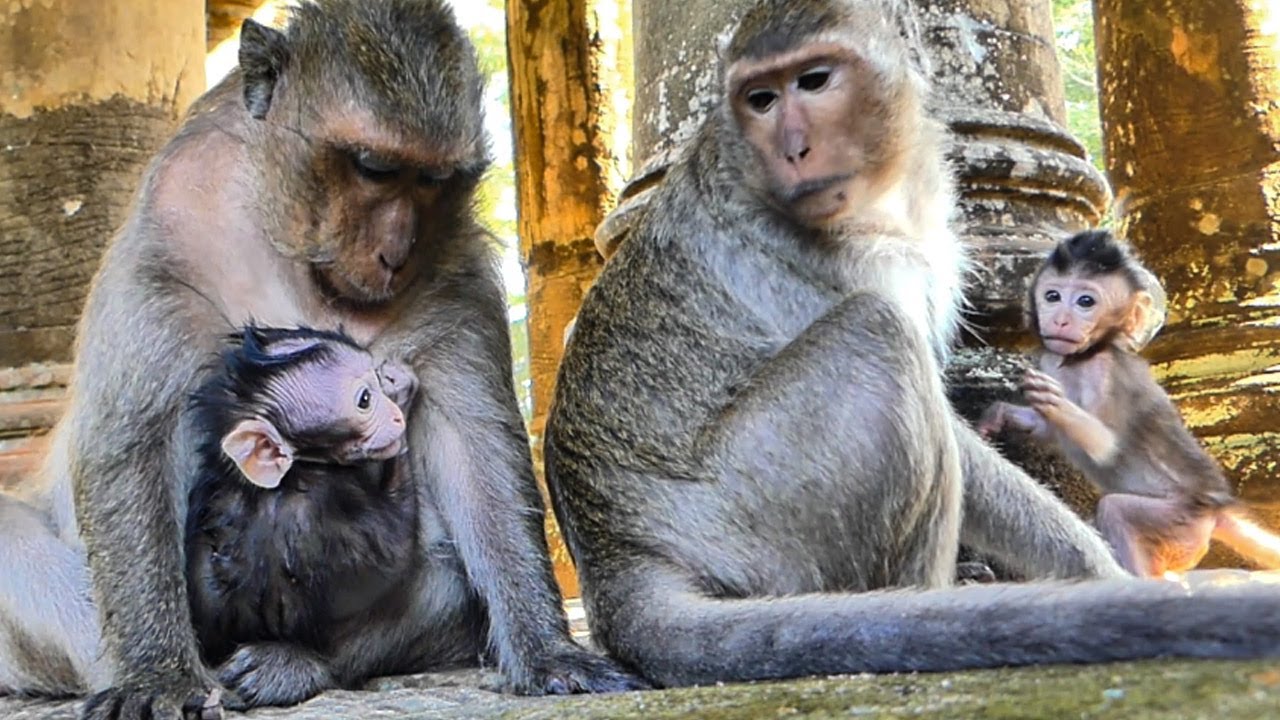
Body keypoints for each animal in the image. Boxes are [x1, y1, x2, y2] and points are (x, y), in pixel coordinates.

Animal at [978, 230, 1280, 577]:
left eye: (1085, 302)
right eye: (1052, 296)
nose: (1061, 320)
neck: (1083, 358)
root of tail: (1214, 512)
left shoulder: (1105, 373)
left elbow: (1107, 446)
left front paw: (1056, 403)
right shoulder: (1052, 361)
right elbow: (1048, 430)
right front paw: (1000, 414)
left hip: (1178, 521)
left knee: (1116, 509)